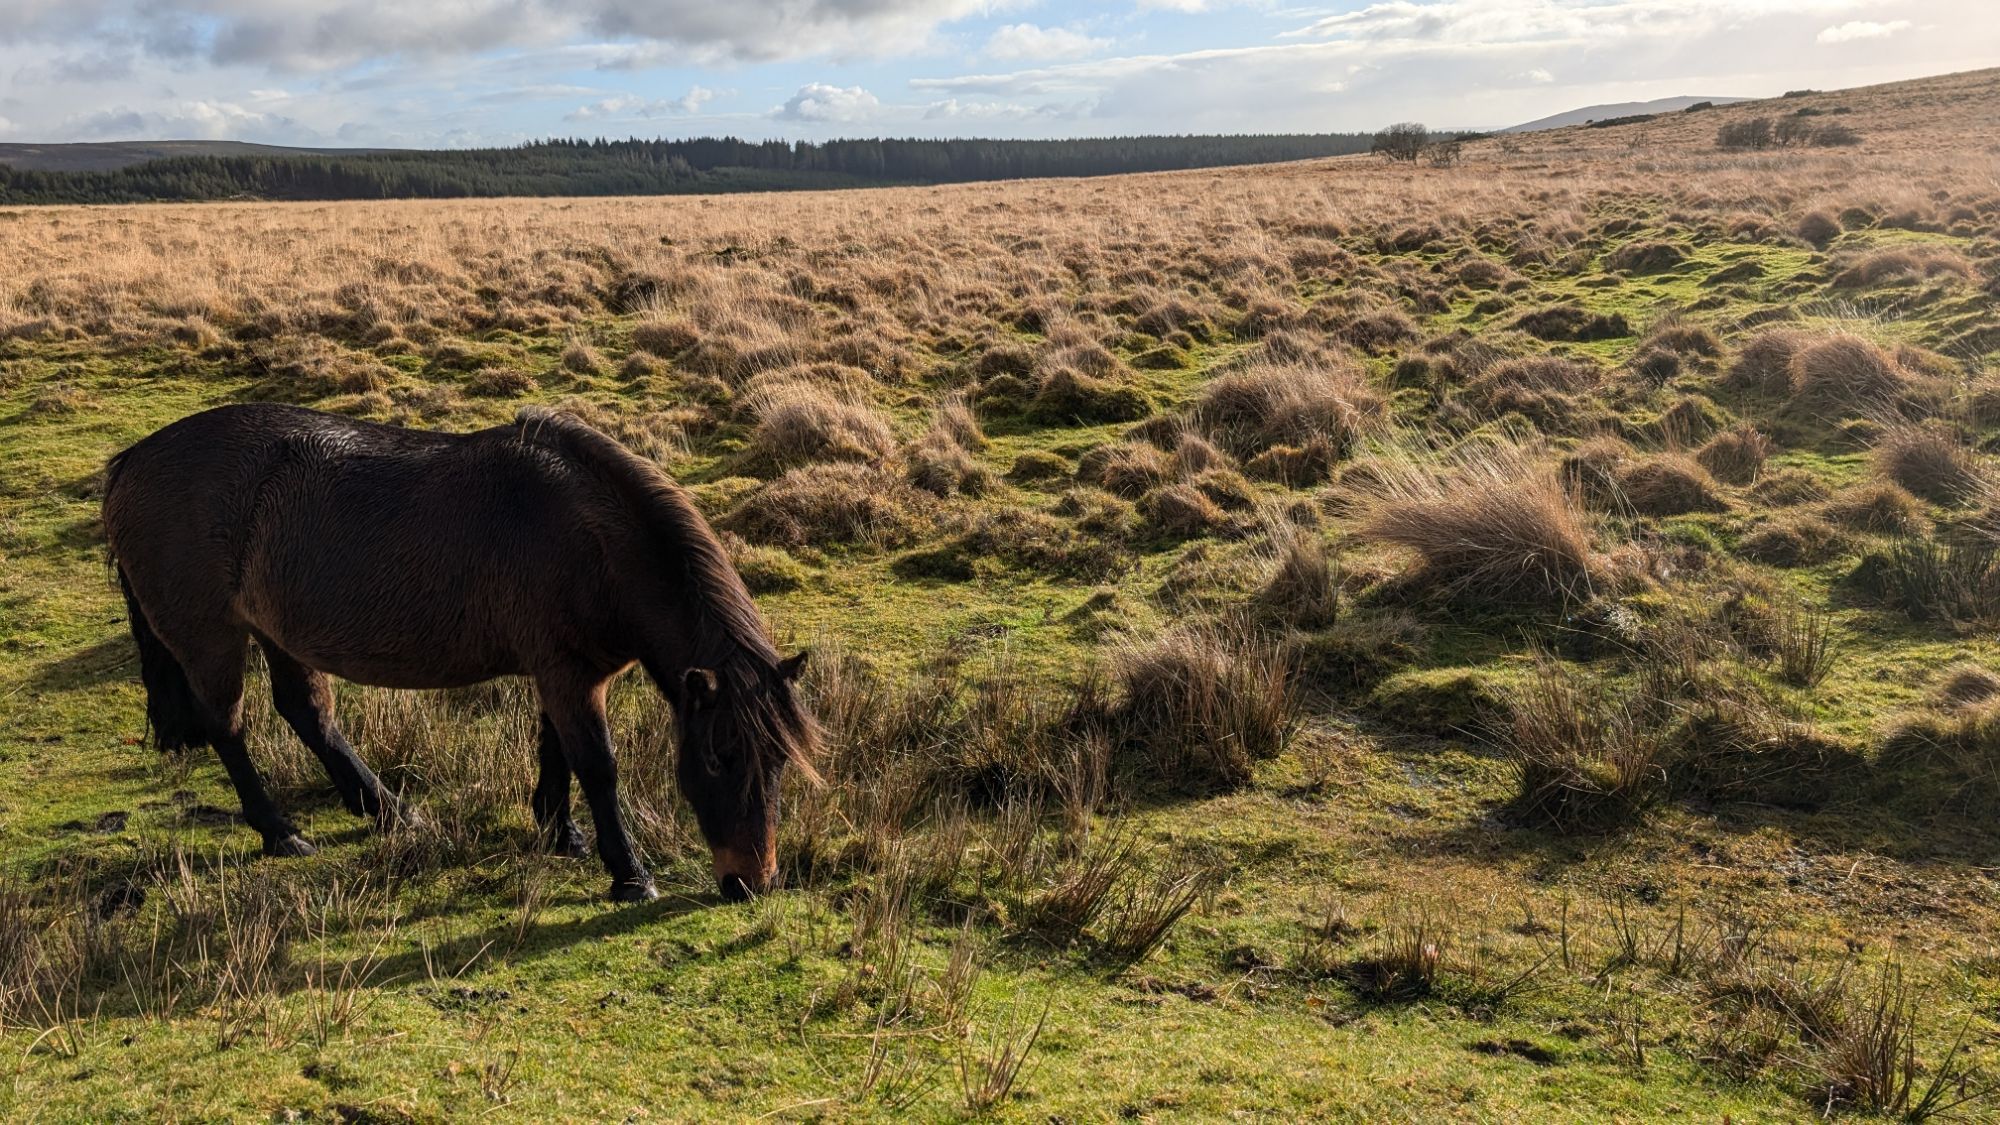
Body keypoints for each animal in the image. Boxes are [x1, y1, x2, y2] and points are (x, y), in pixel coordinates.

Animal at [103, 398, 812, 896]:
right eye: (720, 758)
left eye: (778, 760)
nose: (751, 883)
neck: (596, 542)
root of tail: (132, 459)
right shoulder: (568, 673)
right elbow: (598, 765)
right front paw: (629, 874)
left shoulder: (564, 672)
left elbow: (555, 749)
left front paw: (561, 832)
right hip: (212, 638)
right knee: (228, 726)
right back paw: (282, 834)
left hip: (277, 634)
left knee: (308, 713)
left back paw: (388, 811)